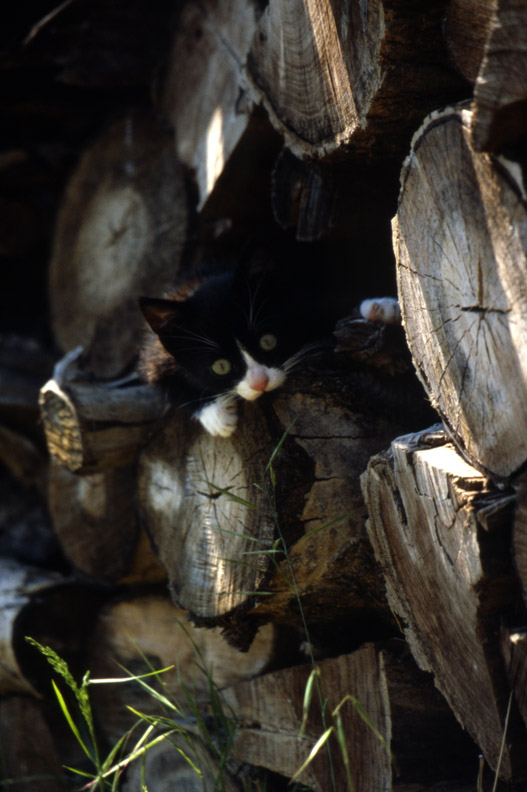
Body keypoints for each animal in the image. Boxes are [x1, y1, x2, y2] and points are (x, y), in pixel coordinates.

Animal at [140, 254, 400, 436]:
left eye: (267, 341)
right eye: (220, 366)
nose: (260, 383)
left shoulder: (299, 302)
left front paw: (381, 308)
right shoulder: (156, 355)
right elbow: (164, 385)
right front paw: (218, 416)